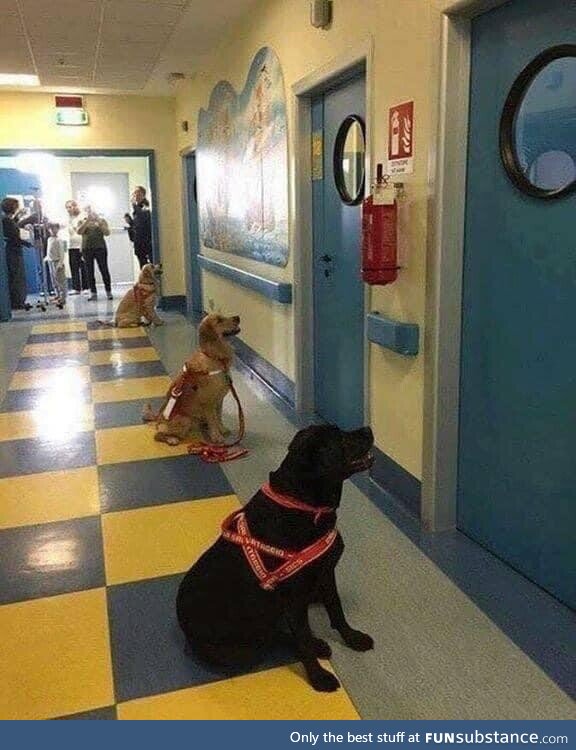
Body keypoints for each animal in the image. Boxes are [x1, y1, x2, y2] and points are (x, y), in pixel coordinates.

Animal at [146, 312, 243, 446]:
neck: (214, 356)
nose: (237, 317)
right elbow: (213, 420)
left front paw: (222, 429)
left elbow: (218, 417)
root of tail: (158, 416)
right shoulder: (209, 402)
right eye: (219, 320)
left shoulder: (219, 399)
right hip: (184, 420)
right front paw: (216, 436)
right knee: (159, 435)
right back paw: (172, 439)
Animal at [178, 426, 376, 696]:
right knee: (274, 636)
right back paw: (316, 645)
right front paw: (318, 677)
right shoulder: (293, 598)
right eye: (341, 440)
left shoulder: (326, 574)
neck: (306, 506)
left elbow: (336, 610)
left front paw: (352, 638)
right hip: (239, 648)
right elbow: (302, 641)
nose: (368, 429)